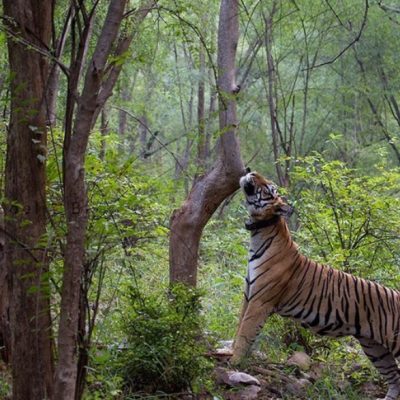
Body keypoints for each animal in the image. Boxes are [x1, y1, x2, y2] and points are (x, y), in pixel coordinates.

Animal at [230, 170, 400, 400]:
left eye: (268, 187)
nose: (251, 171)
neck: (259, 232)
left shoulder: (260, 301)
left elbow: (245, 333)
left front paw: (234, 362)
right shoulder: (248, 296)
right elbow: (239, 326)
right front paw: (229, 353)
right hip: (375, 347)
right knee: (395, 376)